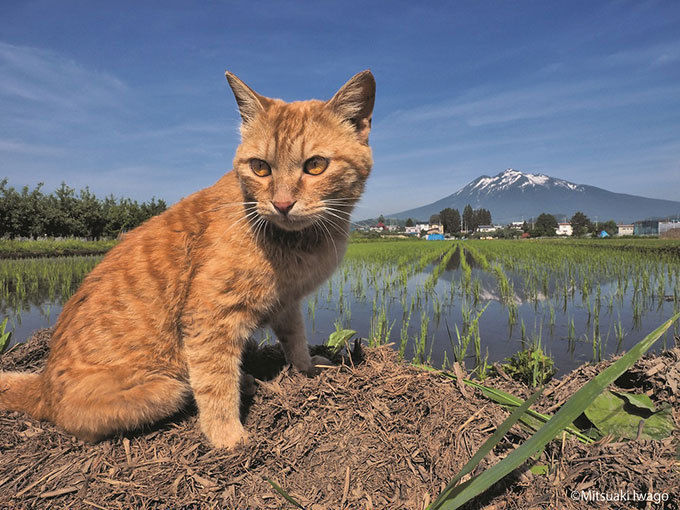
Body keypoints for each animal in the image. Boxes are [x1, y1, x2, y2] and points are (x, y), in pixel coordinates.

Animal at [0, 70, 378, 446]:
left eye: (316, 165)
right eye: (260, 168)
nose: (282, 204)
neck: (298, 241)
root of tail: (41, 387)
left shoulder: (286, 302)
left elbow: (295, 338)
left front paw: (307, 368)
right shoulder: (210, 316)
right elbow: (214, 382)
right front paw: (228, 437)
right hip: (167, 388)